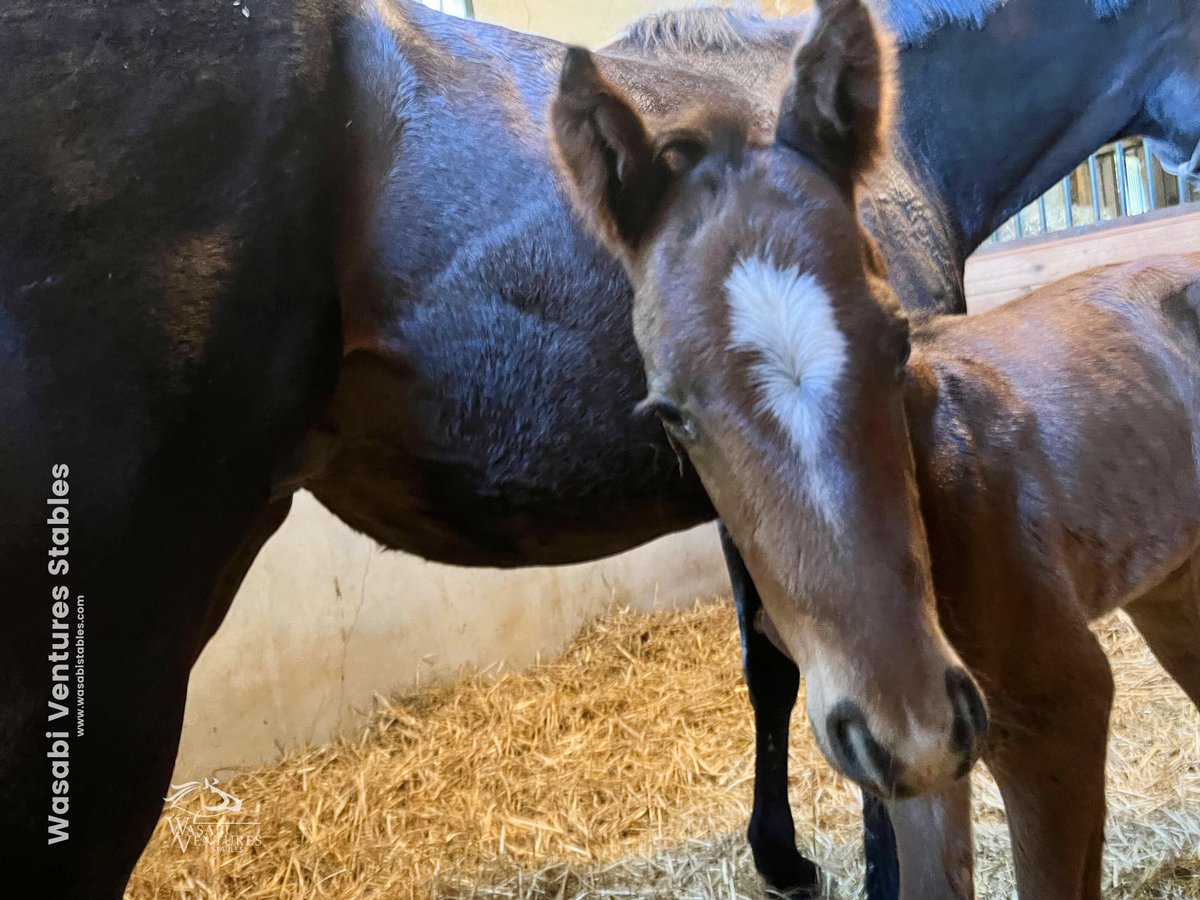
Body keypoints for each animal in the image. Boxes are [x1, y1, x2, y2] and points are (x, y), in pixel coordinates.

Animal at [552, 0, 1200, 897]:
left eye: (899, 343)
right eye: (671, 412)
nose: (911, 724)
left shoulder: (1061, 716)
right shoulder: (919, 771)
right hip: (1172, 592)